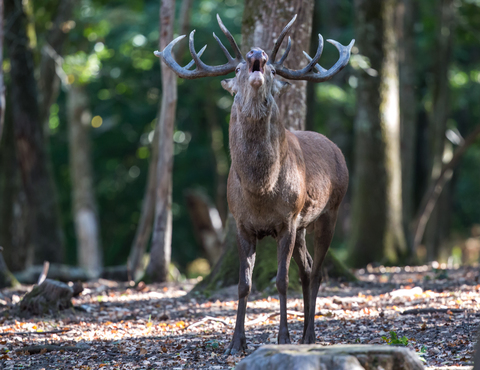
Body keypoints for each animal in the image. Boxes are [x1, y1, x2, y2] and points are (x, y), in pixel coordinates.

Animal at [156, 14, 354, 356]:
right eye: (236, 69)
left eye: (274, 70)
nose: (256, 54)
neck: (260, 191)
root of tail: (337, 149)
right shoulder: (242, 223)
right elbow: (244, 284)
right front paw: (236, 343)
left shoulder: (287, 221)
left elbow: (281, 280)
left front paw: (283, 338)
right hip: (304, 224)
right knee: (307, 268)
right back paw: (305, 333)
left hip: (330, 210)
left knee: (316, 272)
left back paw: (308, 335)